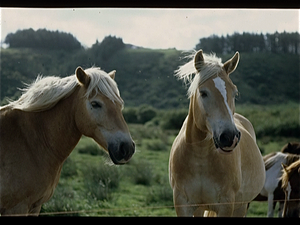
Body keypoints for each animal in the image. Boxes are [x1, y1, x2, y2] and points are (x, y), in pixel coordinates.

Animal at [0, 66, 135, 215]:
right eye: (95, 104)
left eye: (120, 104)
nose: (127, 148)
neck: (30, 141)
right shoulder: (17, 208)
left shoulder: (35, 207)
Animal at [169, 49, 264, 216]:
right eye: (203, 93)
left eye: (234, 92)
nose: (229, 136)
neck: (200, 157)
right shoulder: (182, 204)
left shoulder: (226, 205)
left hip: (241, 206)